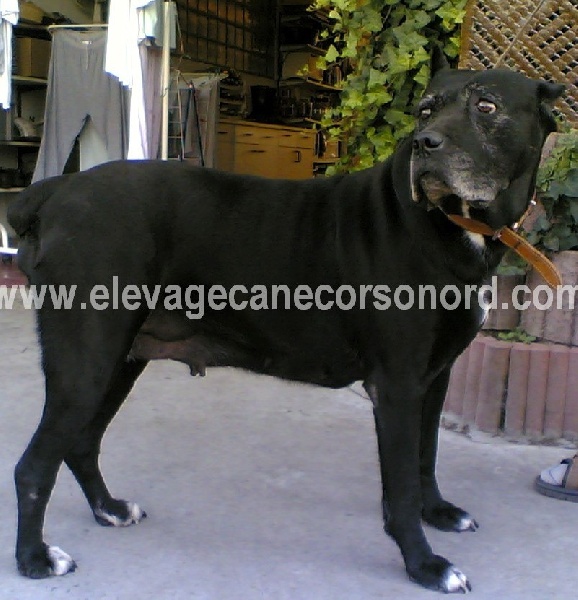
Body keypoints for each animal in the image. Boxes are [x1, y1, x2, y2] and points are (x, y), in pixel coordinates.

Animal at [8, 49, 563, 592]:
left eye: (486, 107)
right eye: (425, 111)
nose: (425, 145)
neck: (451, 223)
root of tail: (55, 191)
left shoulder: (436, 376)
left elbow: (426, 457)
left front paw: (439, 513)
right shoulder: (399, 385)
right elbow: (402, 486)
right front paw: (425, 564)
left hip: (120, 359)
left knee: (81, 444)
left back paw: (109, 509)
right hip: (87, 361)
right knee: (33, 467)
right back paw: (35, 559)